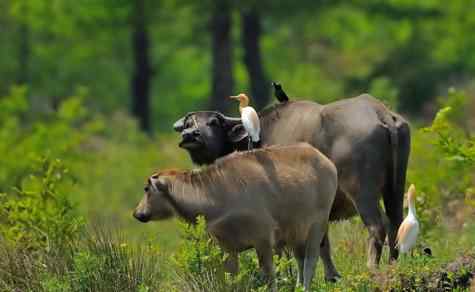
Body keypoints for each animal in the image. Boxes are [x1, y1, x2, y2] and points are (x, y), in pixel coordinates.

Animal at [134, 143, 338, 290]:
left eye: (146, 189)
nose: (137, 213)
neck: (219, 194)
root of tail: (325, 160)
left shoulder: (263, 240)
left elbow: (270, 277)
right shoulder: (227, 248)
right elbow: (231, 279)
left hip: (317, 226)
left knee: (311, 261)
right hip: (296, 233)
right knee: (300, 261)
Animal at [175, 94, 412, 276]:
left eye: (213, 122)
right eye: (188, 124)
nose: (191, 135)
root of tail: (379, 112)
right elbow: (322, 243)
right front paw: (331, 276)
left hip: (363, 193)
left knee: (377, 227)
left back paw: (372, 268)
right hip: (395, 188)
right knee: (396, 224)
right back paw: (393, 266)